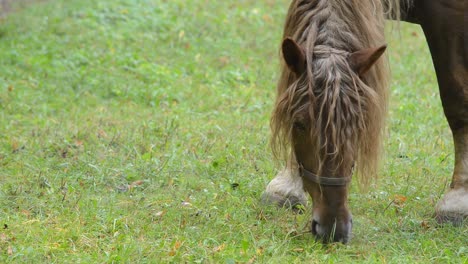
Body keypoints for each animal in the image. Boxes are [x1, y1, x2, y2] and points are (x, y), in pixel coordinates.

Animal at [264, 0, 468, 243]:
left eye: (360, 124)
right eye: (298, 124)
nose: (334, 229)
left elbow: (456, 99)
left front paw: (457, 199)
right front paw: (287, 185)